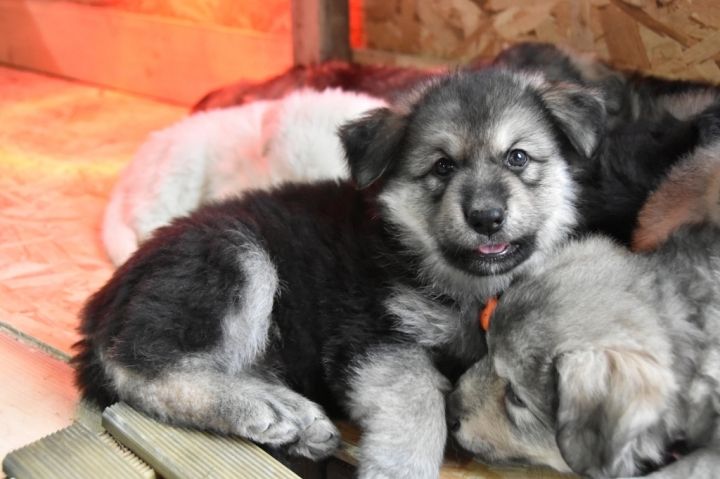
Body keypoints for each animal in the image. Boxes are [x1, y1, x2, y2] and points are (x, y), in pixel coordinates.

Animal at [74, 69, 603, 478]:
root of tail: (105, 301)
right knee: (140, 366)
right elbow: (420, 399)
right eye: (442, 166)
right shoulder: (371, 339)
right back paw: (267, 407)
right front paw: (400, 466)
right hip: (234, 257)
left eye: (518, 157)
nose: (487, 217)